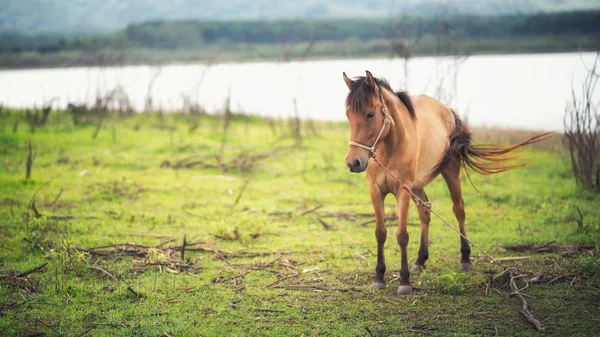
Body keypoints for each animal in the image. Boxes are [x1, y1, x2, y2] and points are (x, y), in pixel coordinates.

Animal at [344, 69, 552, 292]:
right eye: (348, 116)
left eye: (370, 114)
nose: (353, 162)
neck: (389, 147)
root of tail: (448, 111)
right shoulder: (375, 190)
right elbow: (380, 232)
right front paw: (379, 277)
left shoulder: (403, 190)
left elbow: (402, 235)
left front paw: (404, 281)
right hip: (418, 185)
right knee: (425, 212)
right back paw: (420, 261)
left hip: (450, 172)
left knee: (459, 210)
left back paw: (465, 260)